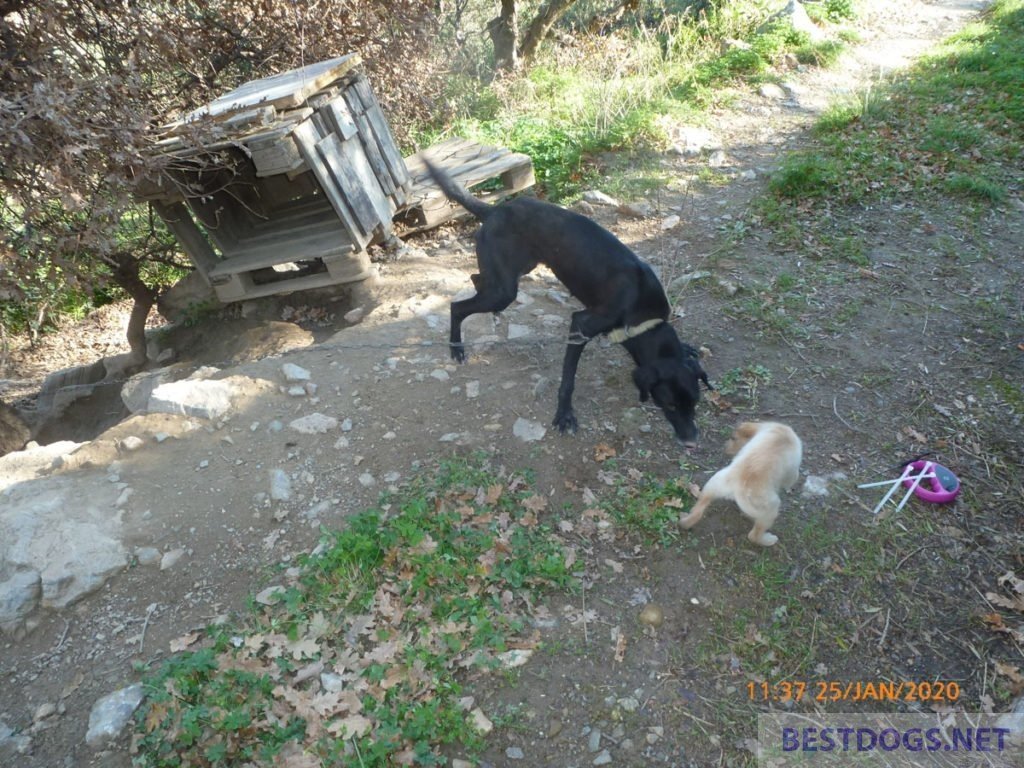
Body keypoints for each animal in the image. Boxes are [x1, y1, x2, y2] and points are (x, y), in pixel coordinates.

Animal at [423, 161, 712, 448]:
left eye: (695, 403)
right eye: (669, 405)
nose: (691, 442)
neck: (643, 314)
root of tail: (494, 210)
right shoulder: (581, 325)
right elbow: (568, 380)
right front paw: (564, 416)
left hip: (515, 273)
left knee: (476, 278)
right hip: (504, 289)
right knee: (457, 307)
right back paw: (456, 348)